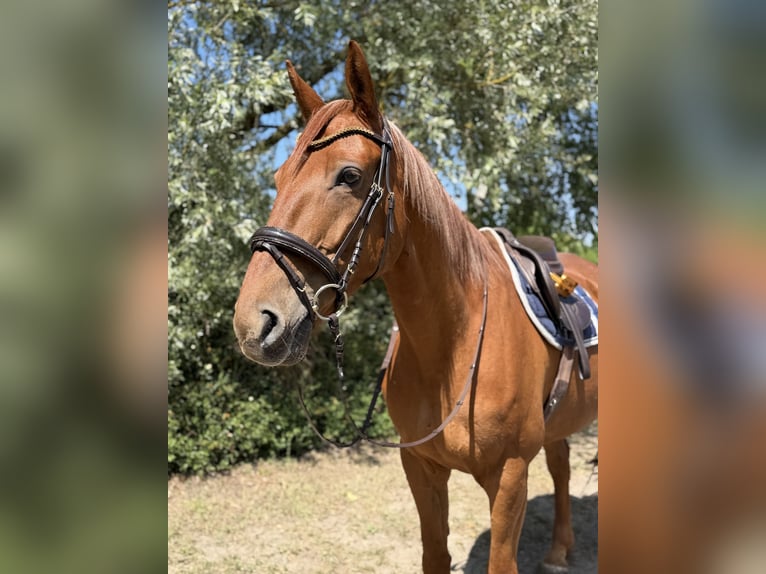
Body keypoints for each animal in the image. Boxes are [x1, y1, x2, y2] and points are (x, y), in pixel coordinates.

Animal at [233, 41, 598, 574]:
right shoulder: (420, 469)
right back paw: (557, 552)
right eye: (279, 177)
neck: (453, 345)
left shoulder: (510, 477)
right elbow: (434, 553)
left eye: (349, 175)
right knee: (562, 464)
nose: (254, 322)